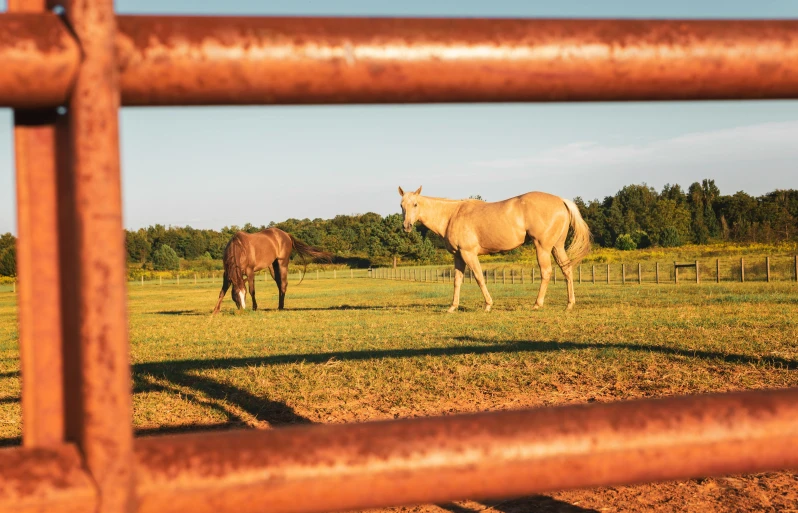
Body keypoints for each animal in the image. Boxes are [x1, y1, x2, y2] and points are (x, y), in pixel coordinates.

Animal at [396, 185, 592, 310]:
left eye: (415, 204)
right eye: (401, 205)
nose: (406, 226)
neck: (452, 215)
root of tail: (561, 200)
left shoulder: (469, 254)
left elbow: (479, 278)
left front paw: (488, 305)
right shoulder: (458, 256)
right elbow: (457, 281)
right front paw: (453, 306)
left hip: (542, 247)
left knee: (546, 272)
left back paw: (537, 304)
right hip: (557, 247)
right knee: (567, 270)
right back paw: (569, 304)